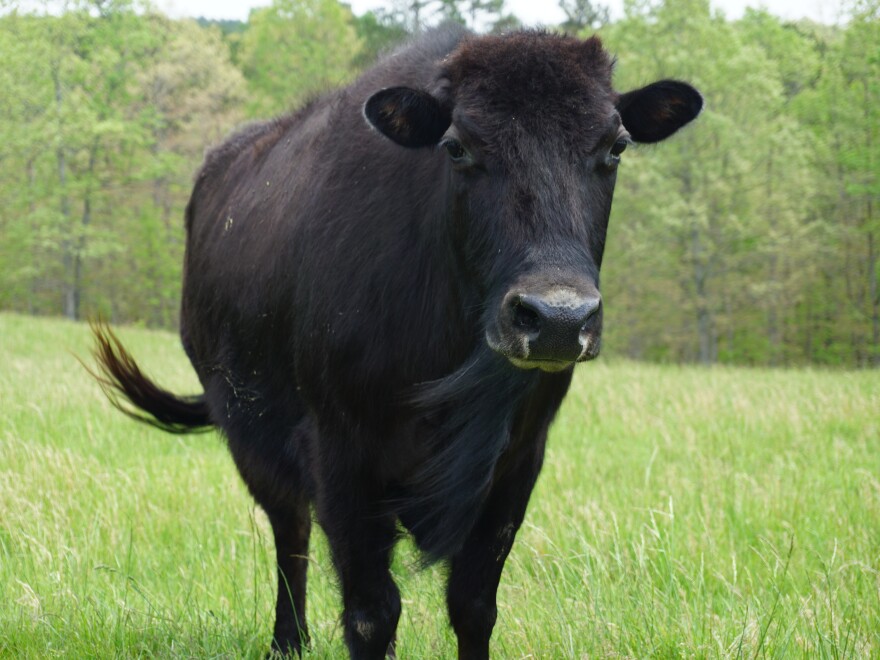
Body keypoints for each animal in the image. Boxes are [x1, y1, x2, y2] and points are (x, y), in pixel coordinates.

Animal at [91, 25, 701, 659]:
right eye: (457, 147)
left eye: (617, 147)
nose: (558, 318)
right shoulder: (341, 455)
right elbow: (370, 613)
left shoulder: (516, 464)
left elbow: (474, 604)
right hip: (248, 428)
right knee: (290, 531)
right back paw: (289, 640)